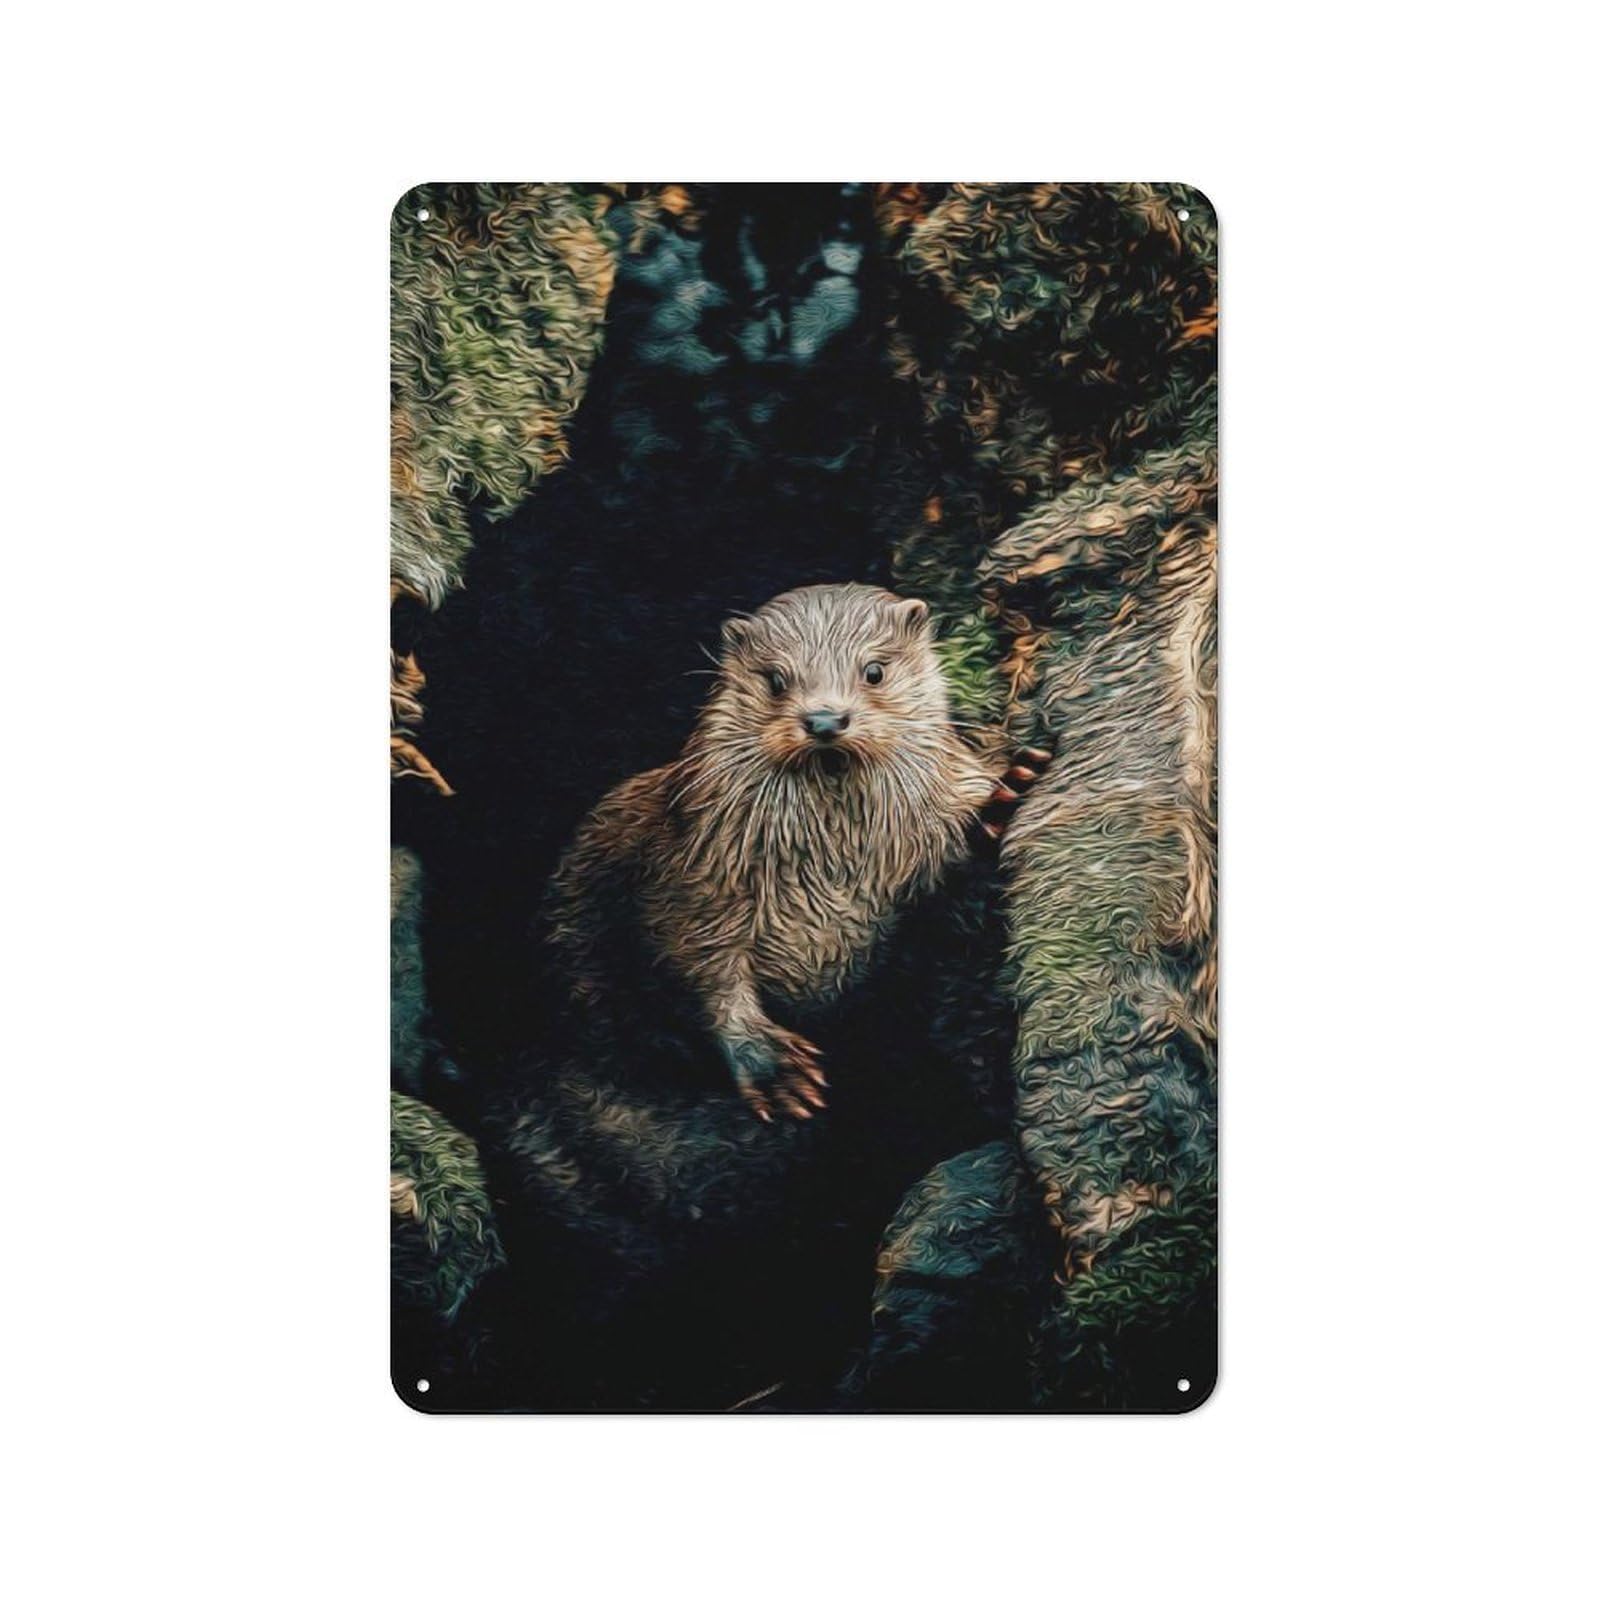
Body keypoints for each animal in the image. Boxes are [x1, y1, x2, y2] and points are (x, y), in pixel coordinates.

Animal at [546, 583, 1025, 1122]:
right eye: (776, 679)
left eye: (874, 671)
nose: (824, 719)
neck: (837, 871)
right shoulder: (693, 875)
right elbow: (695, 965)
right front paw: (770, 1066)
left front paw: (998, 809)